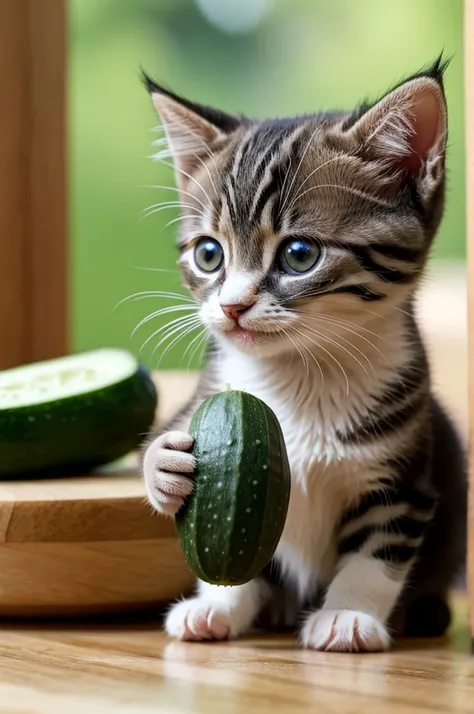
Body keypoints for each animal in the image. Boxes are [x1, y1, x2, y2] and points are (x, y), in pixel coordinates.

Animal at [141, 57, 466, 652]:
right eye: (208, 254)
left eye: (298, 254)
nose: (232, 306)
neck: (301, 374)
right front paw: (217, 601)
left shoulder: (405, 480)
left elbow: (376, 553)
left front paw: (348, 615)